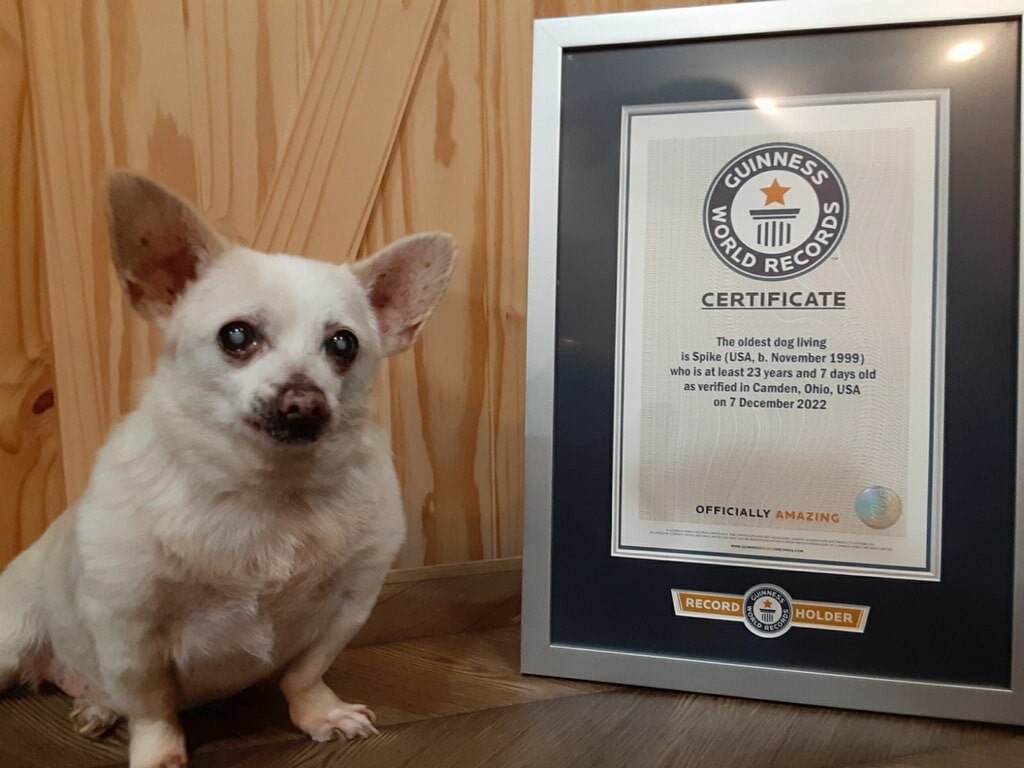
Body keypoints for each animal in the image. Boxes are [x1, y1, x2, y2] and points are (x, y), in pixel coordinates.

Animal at [0, 173, 456, 768]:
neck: (269, 493)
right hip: (10, 639)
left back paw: (96, 708)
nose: (304, 400)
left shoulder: (347, 606)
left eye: (344, 344)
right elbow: (152, 708)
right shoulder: (129, 633)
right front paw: (159, 755)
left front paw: (321, 715)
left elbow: (305, 676)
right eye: (236, 336)